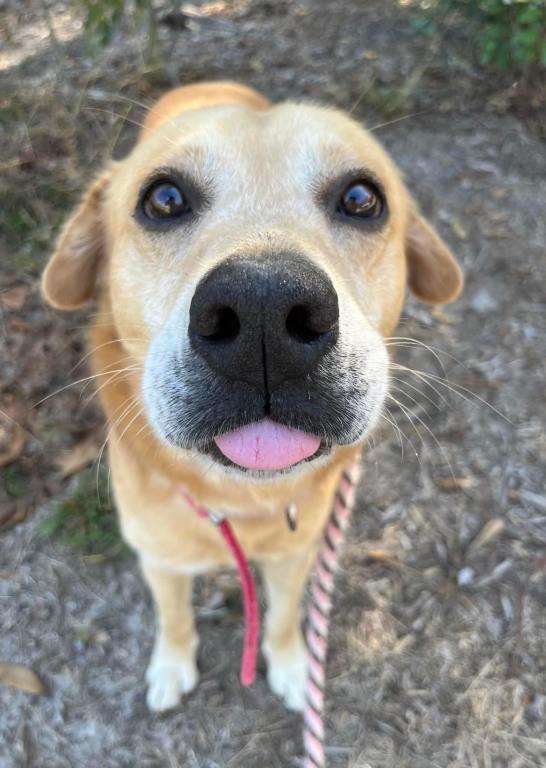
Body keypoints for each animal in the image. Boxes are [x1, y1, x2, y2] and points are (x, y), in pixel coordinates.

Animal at [40, 79, 462, 712]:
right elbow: (174, 619)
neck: (237, 502)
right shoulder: (159, 560)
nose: (265, 306)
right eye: (164, 199)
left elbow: (285, 617)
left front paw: (290, 665)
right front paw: (171, 666)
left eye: (362, 198)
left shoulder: (295, 555)